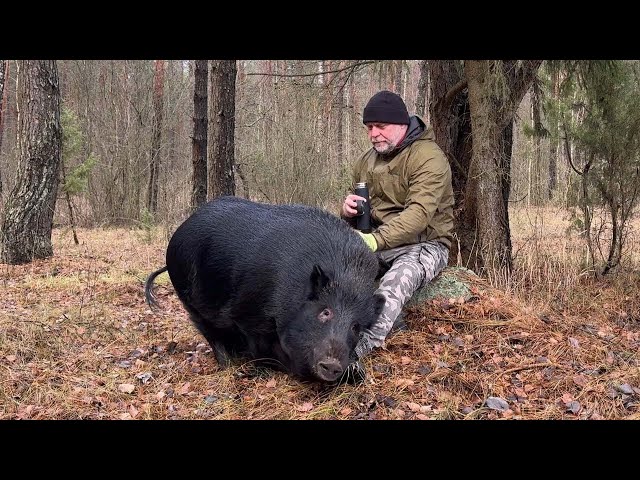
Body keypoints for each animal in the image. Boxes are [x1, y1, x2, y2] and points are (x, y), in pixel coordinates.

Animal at [146, 195, 384, 382]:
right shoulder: (246, 315)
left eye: (356, 326)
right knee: (209, 332)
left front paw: (357, 372)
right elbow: (260, 348)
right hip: (189, 300)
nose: (333, 365)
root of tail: (178, 233)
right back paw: (228, 363)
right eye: (325, 312)